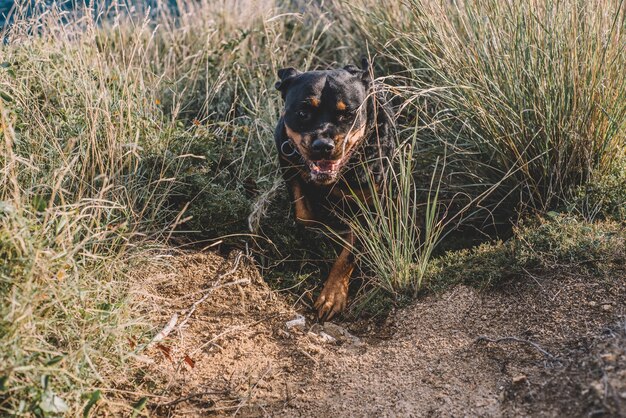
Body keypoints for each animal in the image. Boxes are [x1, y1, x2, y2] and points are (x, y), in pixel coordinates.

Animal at [274, 58, 392, 320]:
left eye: (347, 114)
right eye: (303, 113)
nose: (323, 145)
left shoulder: (370, 205)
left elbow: (349, 254)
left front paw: (332, 295)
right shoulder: (288, 164)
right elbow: (304, 215)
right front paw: (322, 231)